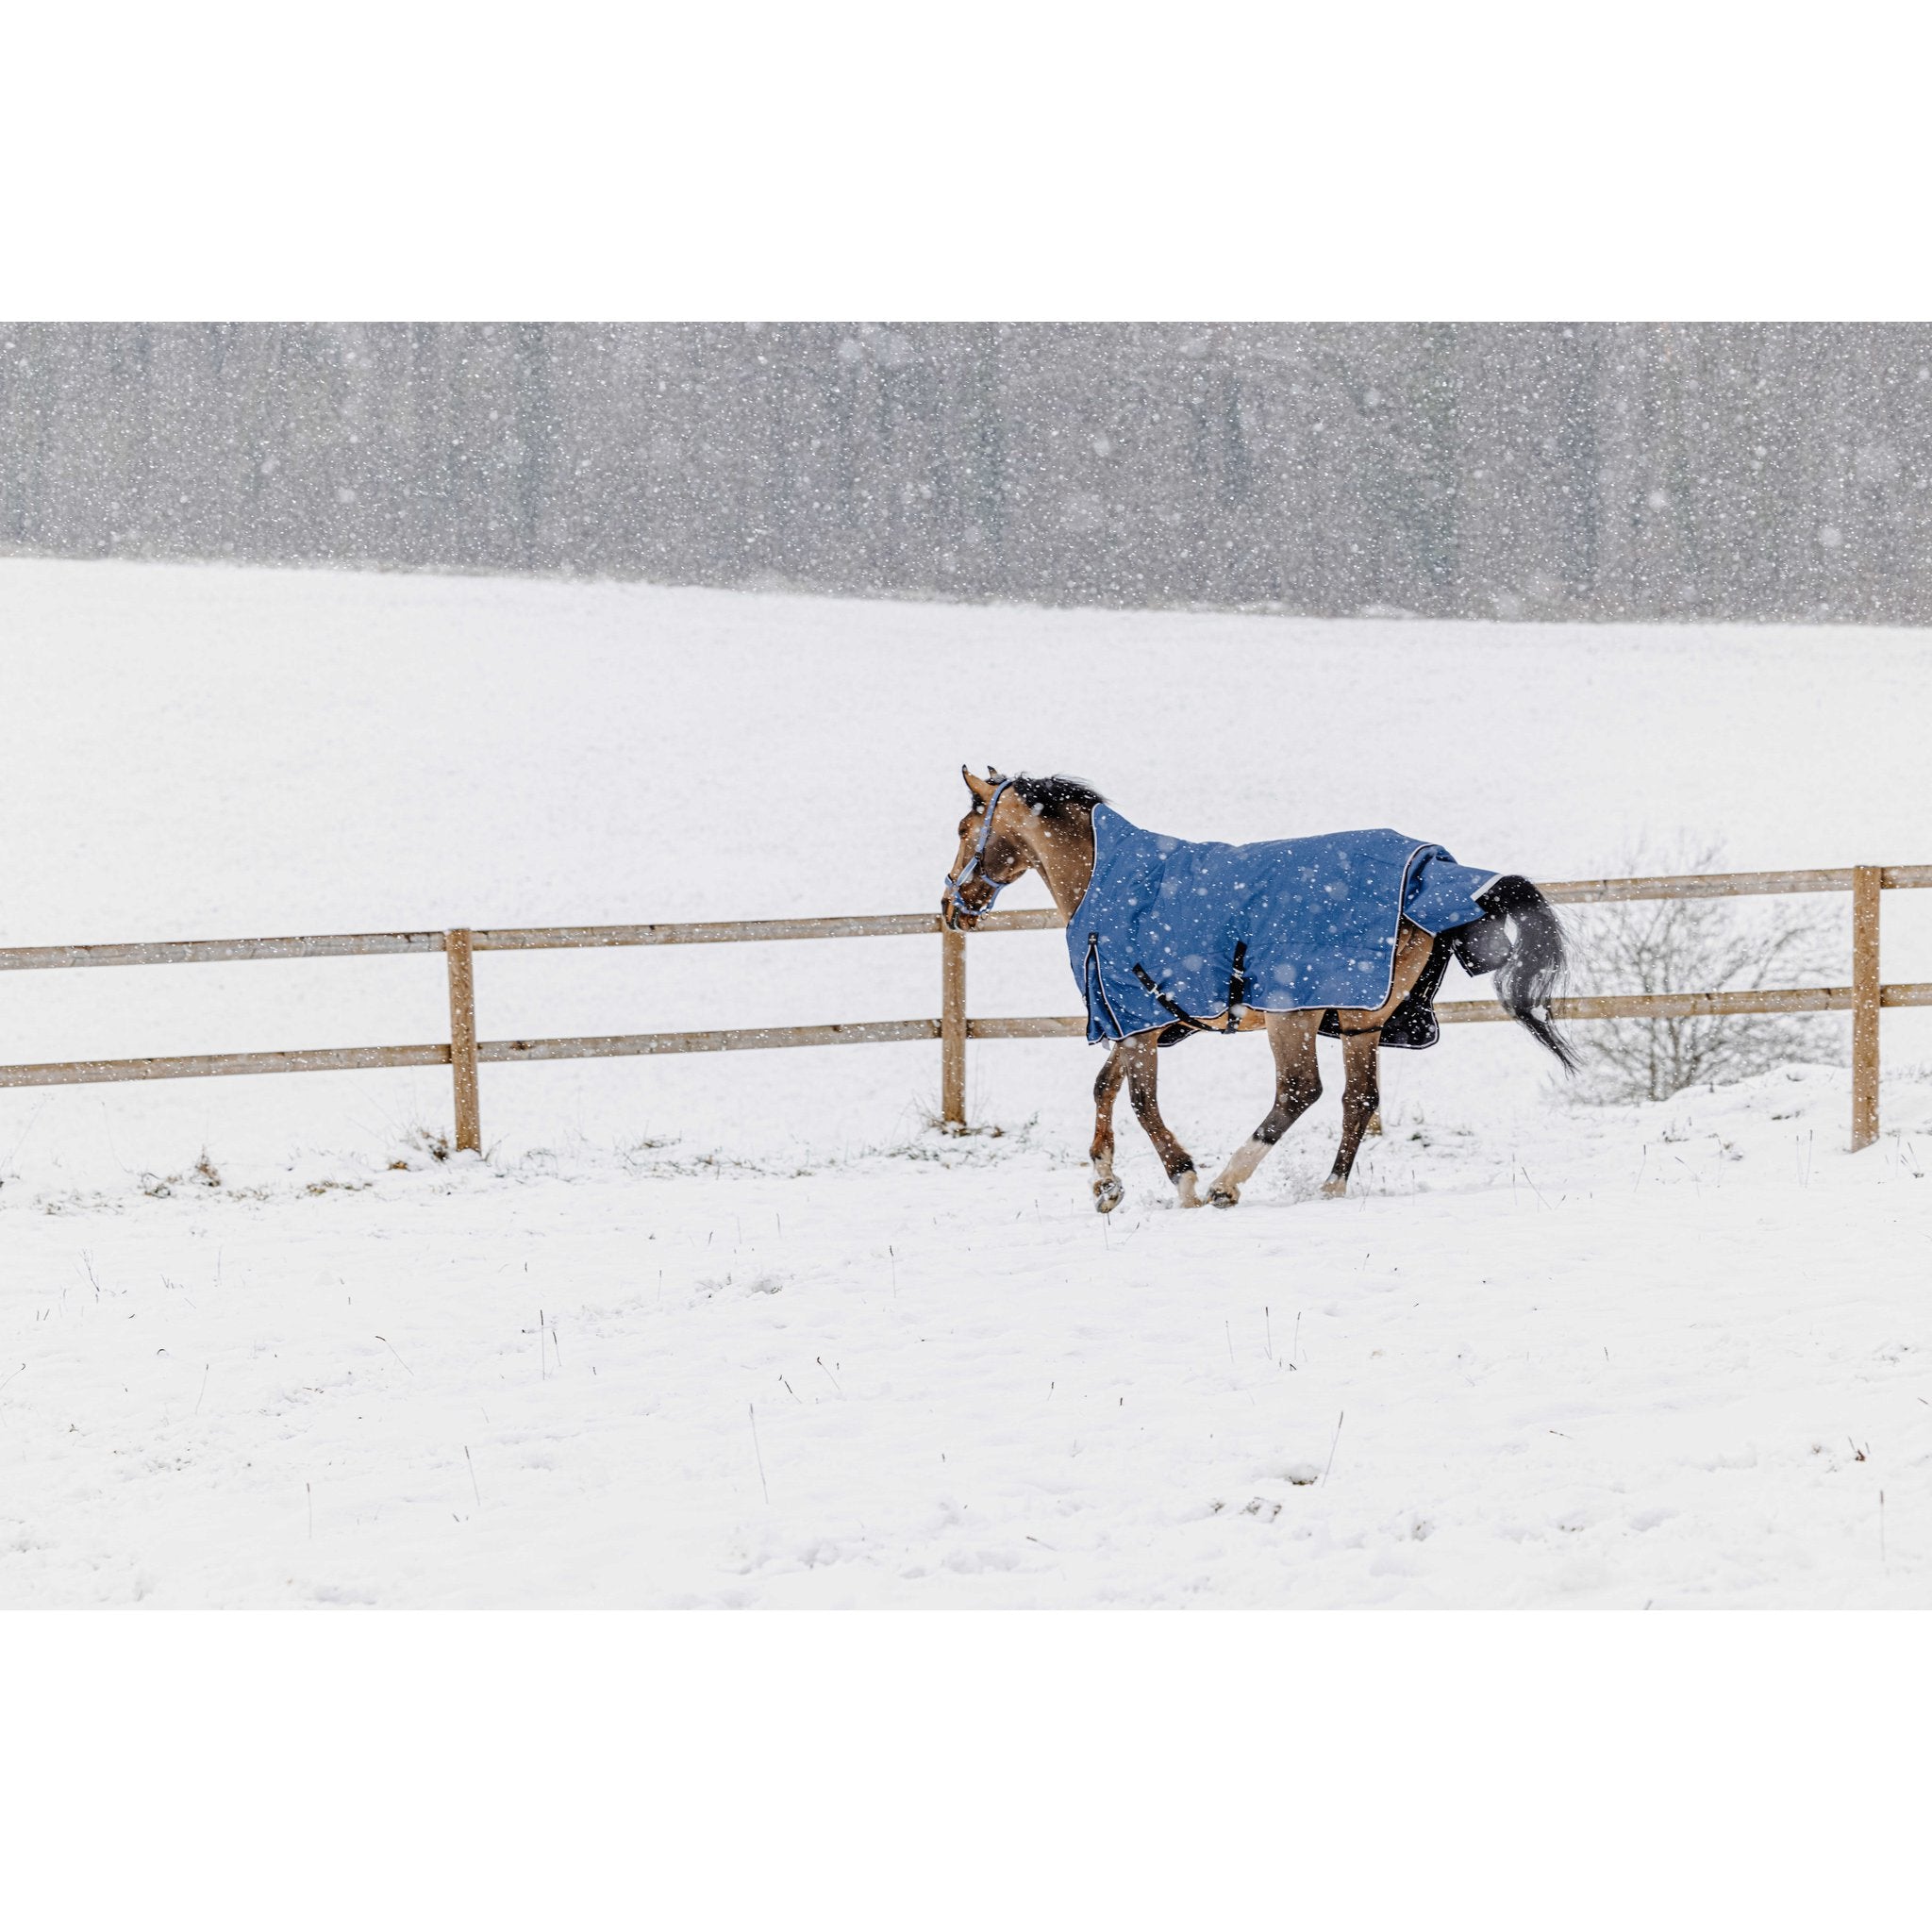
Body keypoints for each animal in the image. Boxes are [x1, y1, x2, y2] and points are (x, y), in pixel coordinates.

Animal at [940, 768, 1577, 1213]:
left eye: (966, 831)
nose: (951, 906)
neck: (1109, 881)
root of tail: (1427, 872)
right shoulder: (1134, 1018)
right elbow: (1104, 1089)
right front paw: (1105, 1184)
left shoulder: (1136, 1017)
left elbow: (1140, 1102)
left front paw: (1184, 1181)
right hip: (1361, 1018)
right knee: (1358, 1100)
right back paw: (1329, 1188)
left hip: (1291, 1014)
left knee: (1299, 1090)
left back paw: (1228, 1183)